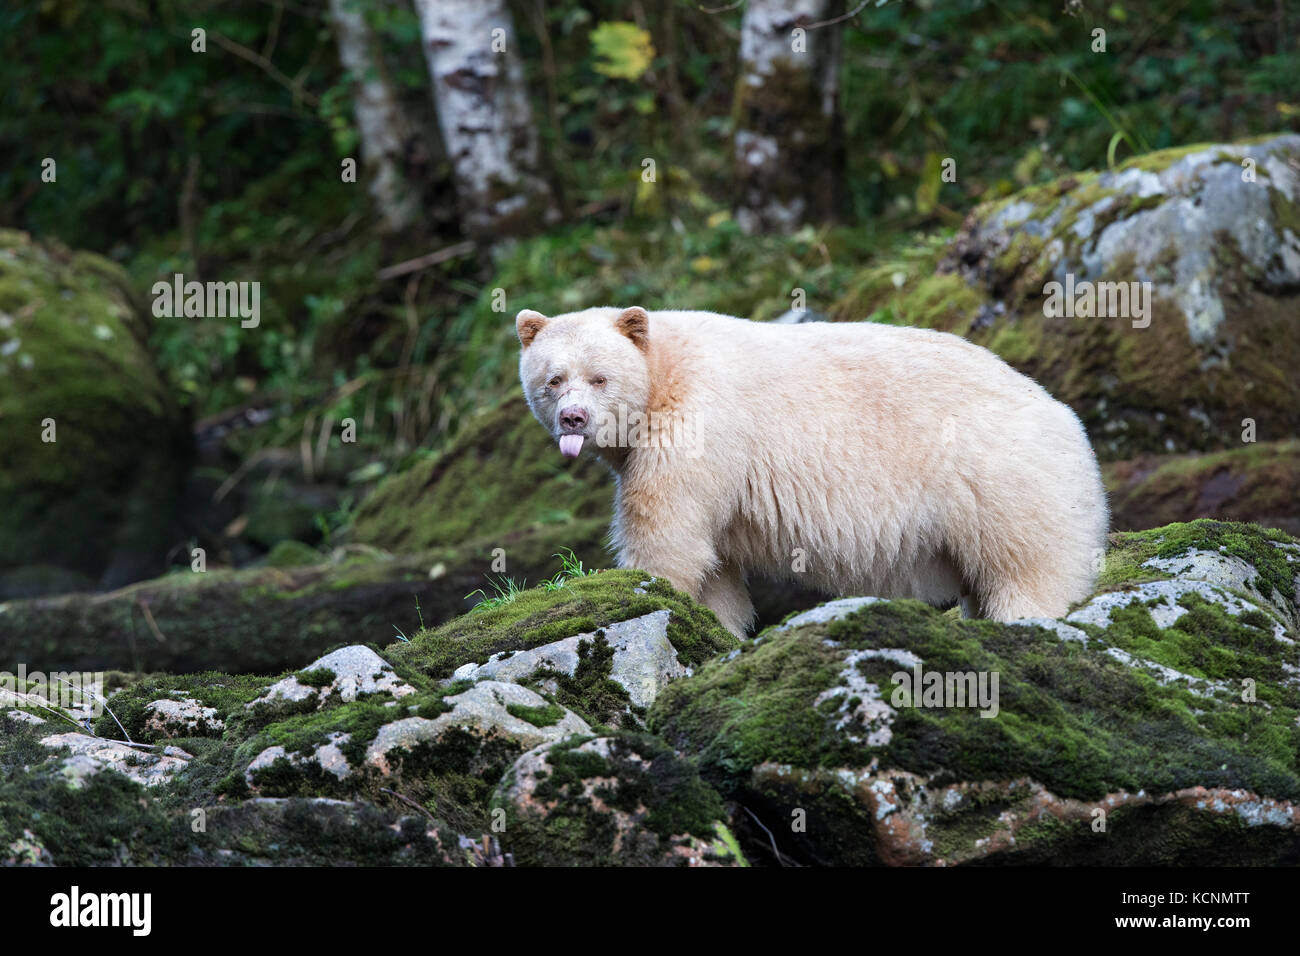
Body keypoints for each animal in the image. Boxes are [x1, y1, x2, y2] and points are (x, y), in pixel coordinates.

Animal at [514, 306, 1107, 634]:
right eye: (552, 379)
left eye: (599, 377)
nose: (573, 417)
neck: (663, 371)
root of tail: (1068, 421)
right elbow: (715, 569)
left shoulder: (700, 422)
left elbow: (668, 533)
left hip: (1002, 480)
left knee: (1026, 571)